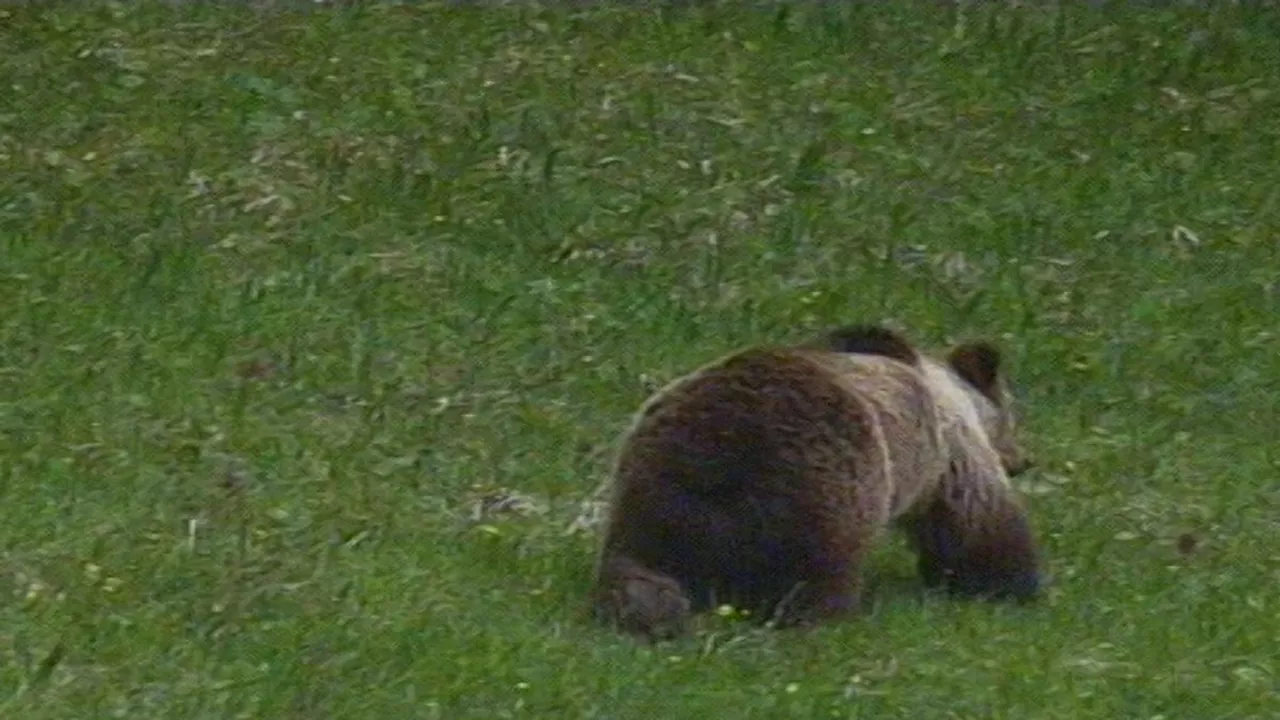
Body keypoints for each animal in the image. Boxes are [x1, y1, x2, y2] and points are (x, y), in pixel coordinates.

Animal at [588, 325, 1039, 638]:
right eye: (1013, 414)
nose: (1024, 460)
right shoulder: (950, 451)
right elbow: (979, 521)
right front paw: (1009, 585)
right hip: (829, 486)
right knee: (824, 571)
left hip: (651, 502)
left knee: (639, 570)